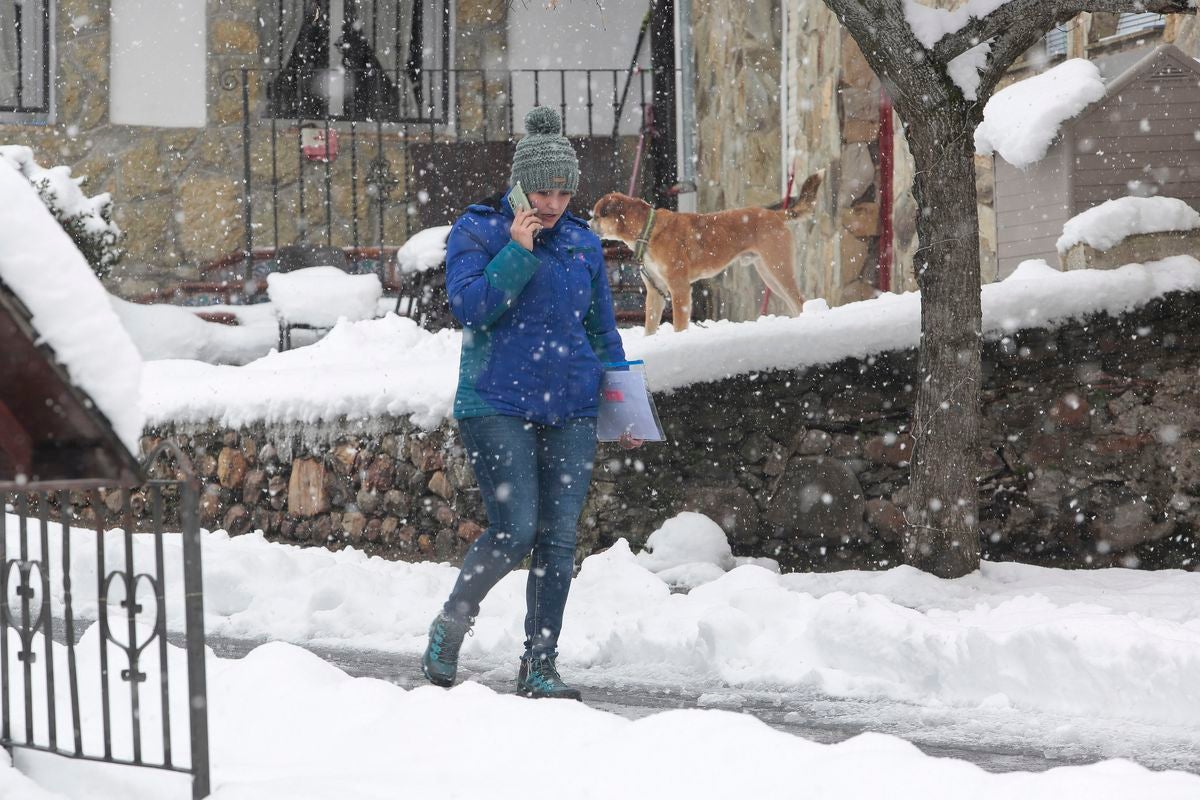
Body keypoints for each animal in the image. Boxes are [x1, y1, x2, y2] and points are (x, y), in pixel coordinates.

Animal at [592, 173, 825, 335]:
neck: (647, 231)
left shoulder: (679, 288)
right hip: (768, 273)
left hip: (778, 267)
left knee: (799, 300)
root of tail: (775, 214)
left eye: (596, 215)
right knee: (794, 303)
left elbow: (679, 325)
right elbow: (649, 327)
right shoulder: (654, 291)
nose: (587, 223)